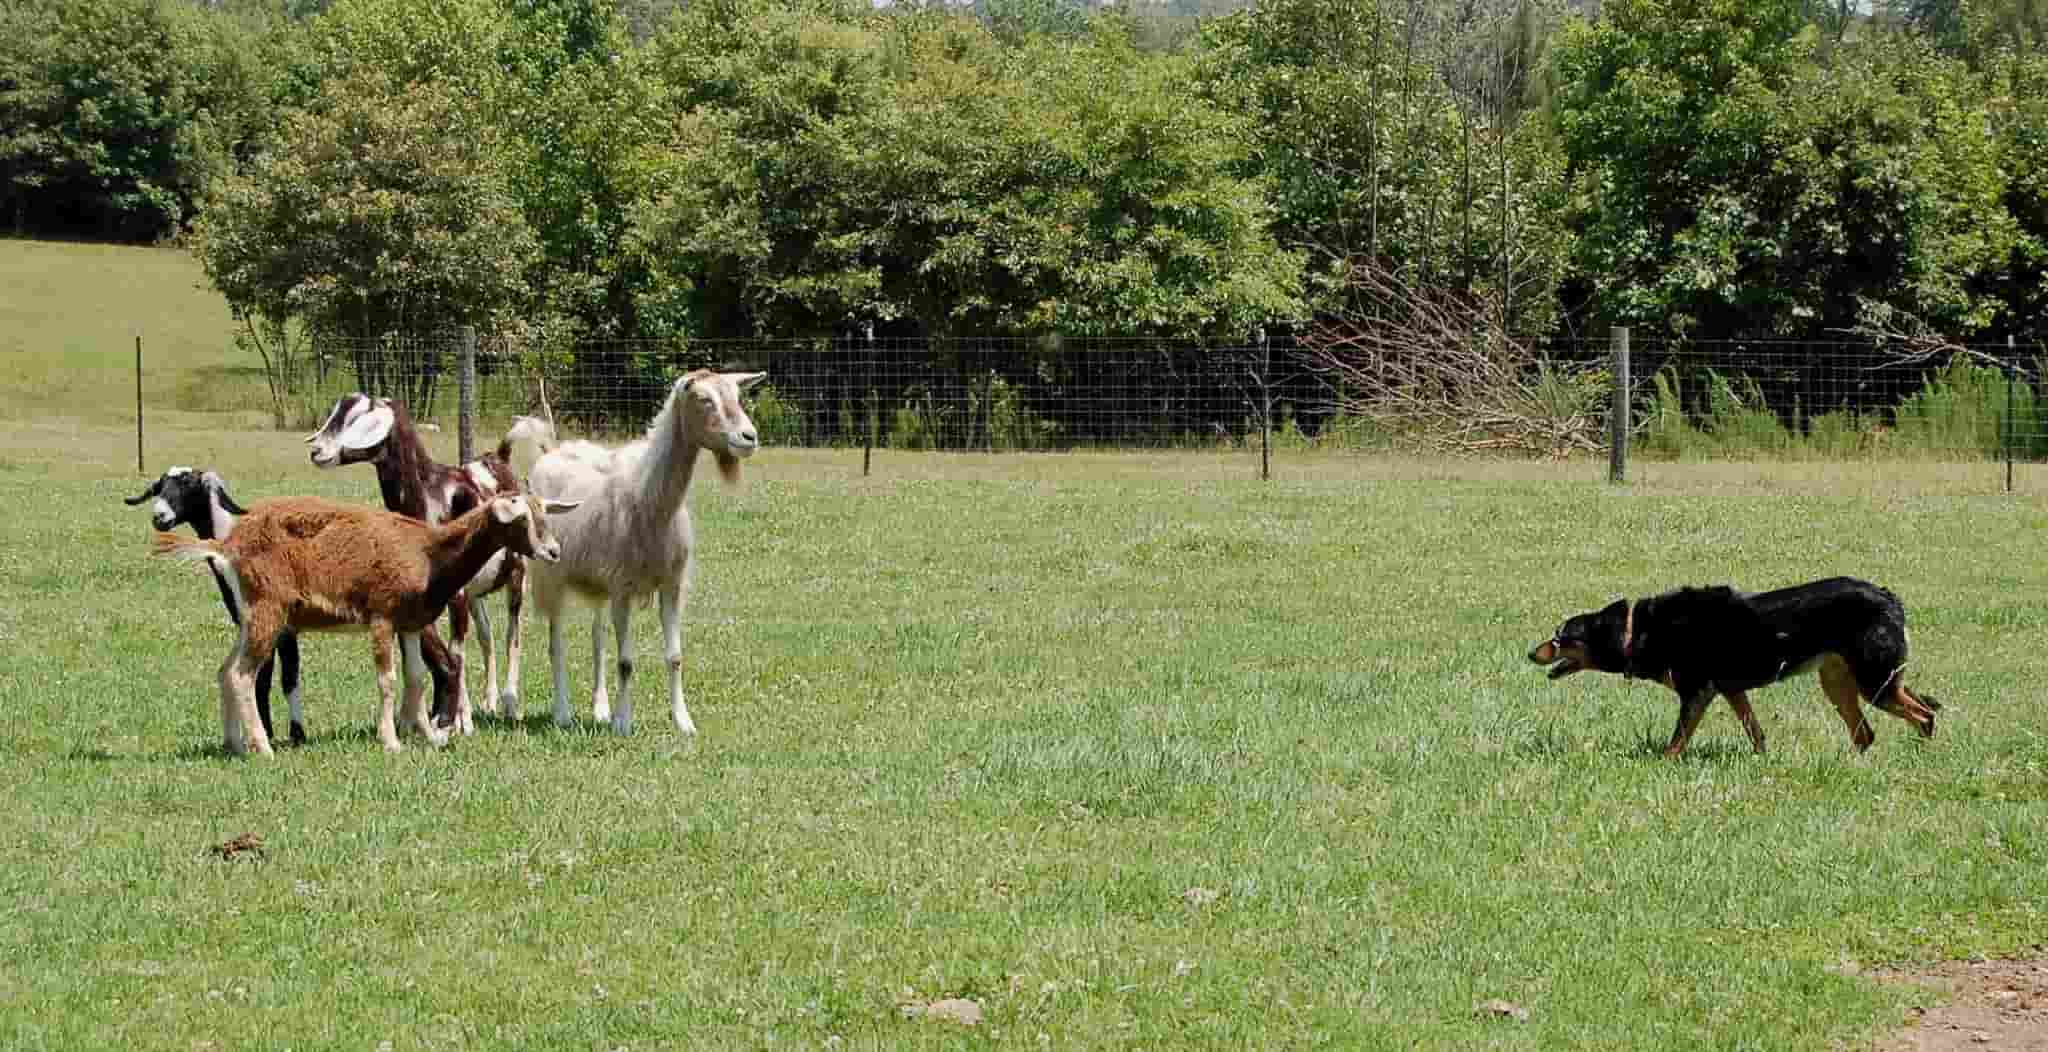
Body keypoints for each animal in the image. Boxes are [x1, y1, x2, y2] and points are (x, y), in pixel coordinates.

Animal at [125, 466, 303, 744]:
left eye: (189, 485)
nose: (159, 517)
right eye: (160, 487)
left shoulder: (281, 626)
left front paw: (292, 734)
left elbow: (283, 678)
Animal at [153, 491, 577, 753]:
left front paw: (429, 737)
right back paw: (263, 747)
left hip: (249, 618)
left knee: (225, 671)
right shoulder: (382, 617)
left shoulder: (410, 623)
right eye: (520, 519)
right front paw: (390, 741)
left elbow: (416, 679)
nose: (554, 551)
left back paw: (235, 744)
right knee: (242, 674)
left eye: (544, 513)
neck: (428, 551)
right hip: (268, 612)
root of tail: (227, 546)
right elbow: (387, 681)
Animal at [305, 390, 544, 728]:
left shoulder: (456, 595)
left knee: (513, 634)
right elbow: (420, 658)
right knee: (486, 636)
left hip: (516, 578)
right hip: (477, 595)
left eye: (358, 419)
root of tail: (499, 459)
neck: (430, 497)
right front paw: (418, 720)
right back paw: (489, 701)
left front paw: (460, 721)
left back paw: (510, 704)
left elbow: (456, 652)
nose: (317, 451)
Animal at [516, 366, 765, 728]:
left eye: (737, 395)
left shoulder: (672, 585)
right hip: (552, 574)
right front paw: (623, 723)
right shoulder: (622, 587)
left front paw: (683, 722)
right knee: (556, 641)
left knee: (597, 638)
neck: (648, 501)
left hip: (598, 585)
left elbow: (674, 656)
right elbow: (626, 662)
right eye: (704, 399)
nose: (748, 437)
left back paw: (600, 708)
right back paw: (562, 713)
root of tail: (552, 450)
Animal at [1531, 573, 1941, 753]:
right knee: (1866, 732)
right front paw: (1763, 758)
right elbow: (1755, 731)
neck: (1637, 631)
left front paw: (1662, 762)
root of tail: (1890, 598)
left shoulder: (1696, 693)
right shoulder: (1731, 691)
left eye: (1560, 637)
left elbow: (1677, 740)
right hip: (1843, 683)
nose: (1530, 653)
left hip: (1874, 684)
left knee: (1924, 715)